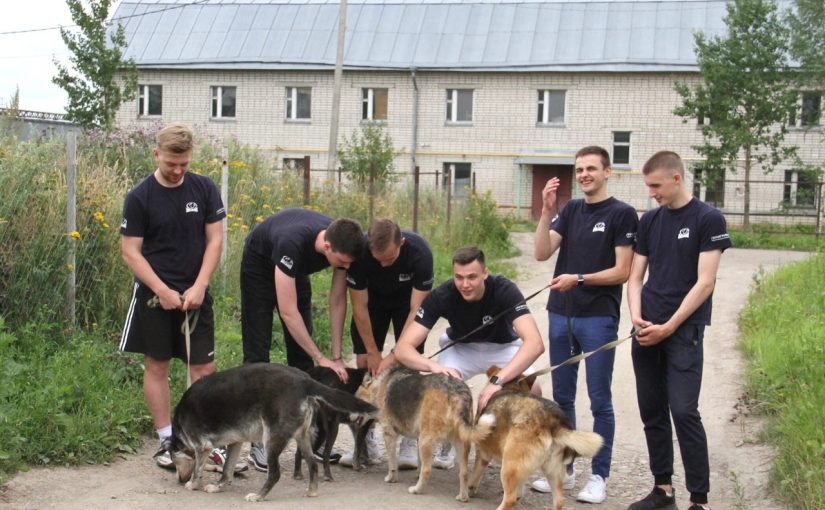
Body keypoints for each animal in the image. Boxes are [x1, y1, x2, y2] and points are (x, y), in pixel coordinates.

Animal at [158, 362, 376, 502]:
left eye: (175, 461)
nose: (179, 481)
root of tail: (305, 380)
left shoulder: (201, 447)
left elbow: (197, 470)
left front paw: (193, 484)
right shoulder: (235, 443)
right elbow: (227, 470)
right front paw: (218, 486)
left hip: (271, 438)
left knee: (276, 473)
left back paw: (259, 496)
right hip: (303, 437)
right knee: (313, 464)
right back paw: (312, 491)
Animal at [356, 366, 496, 502]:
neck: (378, 387)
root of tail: (455, 392)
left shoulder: (389, 435)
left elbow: (393, 464)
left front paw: (391, 478)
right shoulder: (417, 438)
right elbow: (420, 464)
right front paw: (417, 474)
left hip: (426, 440)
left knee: (428, 470)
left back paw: (416, 490)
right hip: (460, 442)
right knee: (464, 473)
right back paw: (463, 497)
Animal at [466, 364, 600, 508]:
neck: (511, 386)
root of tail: (552, 422)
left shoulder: (483, 454)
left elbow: (475, 475)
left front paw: (469, 489)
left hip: (509, 466)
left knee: (509, 499)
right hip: (553, 472)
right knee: (559, 501)